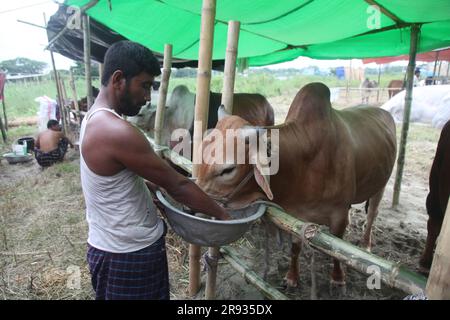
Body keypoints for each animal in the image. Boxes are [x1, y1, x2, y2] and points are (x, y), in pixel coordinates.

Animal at [197, 82, 398, 288]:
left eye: (227, 170)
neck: (305, 163)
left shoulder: (339, 214)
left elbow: (338, 249)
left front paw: (337, 276)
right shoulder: (295, 216)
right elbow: (295, 247)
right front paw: (292, 276)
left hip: (380, 185)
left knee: (372, 213)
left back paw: (366, 244)